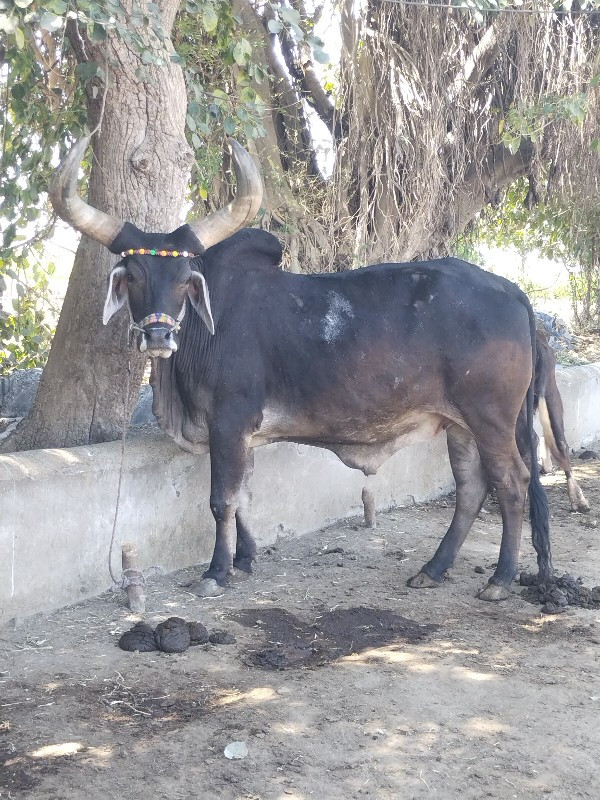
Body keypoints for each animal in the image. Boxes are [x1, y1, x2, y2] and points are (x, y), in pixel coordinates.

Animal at [51, 138, 552, 600]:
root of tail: (512, 289)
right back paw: (434, 568)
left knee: (512, 482)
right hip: (460, 424)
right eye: (134, 277)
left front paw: (217, 571)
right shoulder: (243, 434)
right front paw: (245, 560)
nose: (158, 337)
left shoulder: (228, 421)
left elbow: (222, 499)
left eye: (183, 281)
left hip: (490, 418)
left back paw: (500, 578)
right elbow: (245, 496)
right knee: (471, 488)